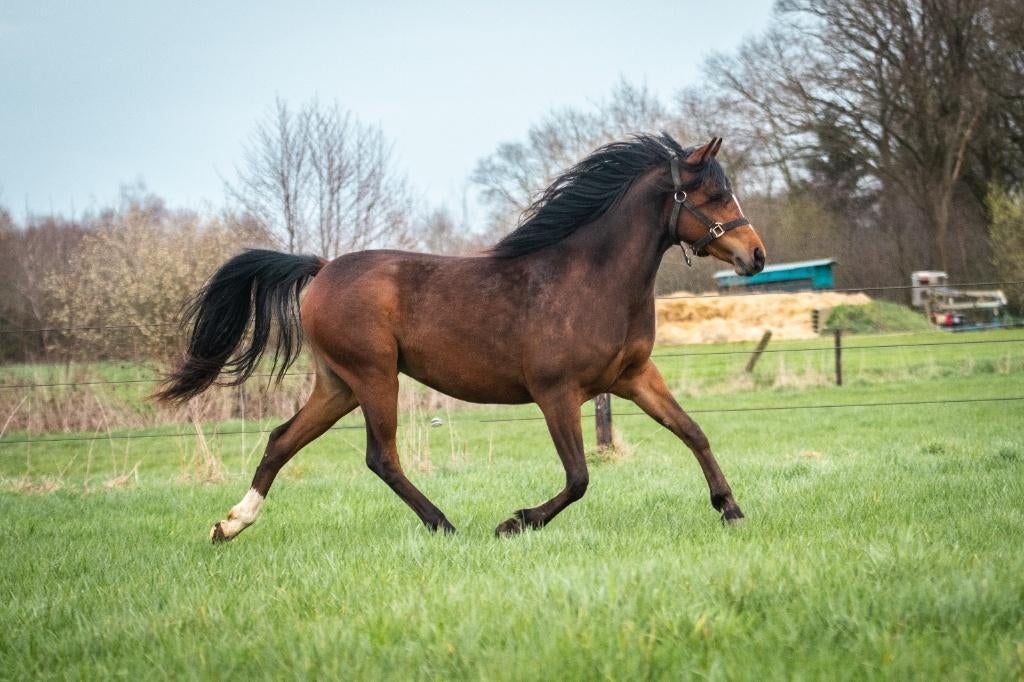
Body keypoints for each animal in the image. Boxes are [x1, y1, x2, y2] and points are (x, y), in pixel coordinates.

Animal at [157, 133, 766, 542]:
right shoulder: (556, 393)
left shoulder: (635, 377)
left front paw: (730, 508)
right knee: (382, 457)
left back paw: (231, 524)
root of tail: (322, 267)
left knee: (282, 440)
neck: (590, 279)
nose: (755, 255)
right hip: (374, 377)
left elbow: (694, 433)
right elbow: (578, 477)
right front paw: (515, 522)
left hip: (338, 385)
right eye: (712, 195)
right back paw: (444, 524)